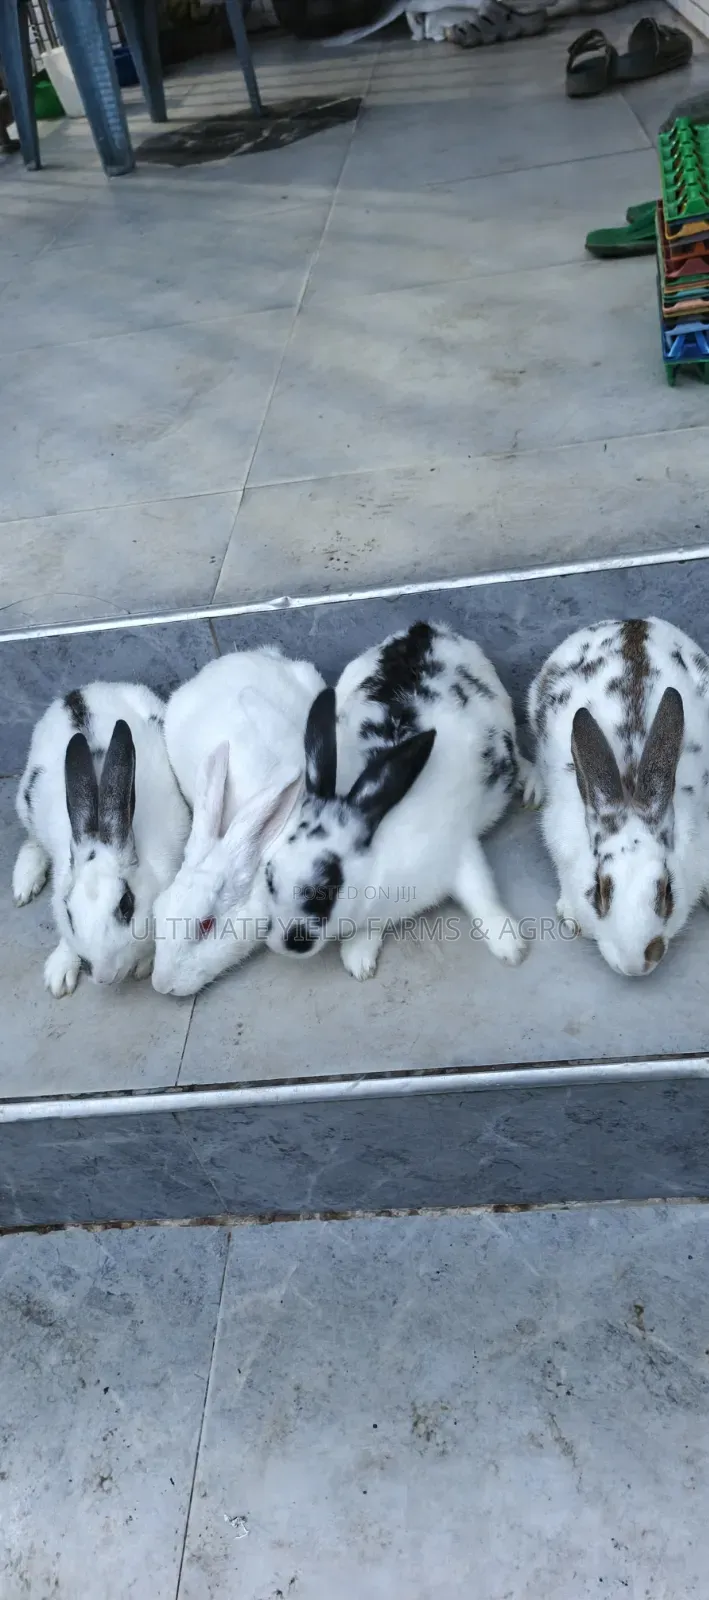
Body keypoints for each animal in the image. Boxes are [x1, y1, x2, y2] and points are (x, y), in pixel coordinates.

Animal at [13, 683, 191, 997]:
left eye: (126, 905)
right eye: (69, 913)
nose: (104, 976)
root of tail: (80, 692)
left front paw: (144, 963)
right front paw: (59, 974)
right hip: (25, 800)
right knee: (32, 841)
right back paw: (23, 884)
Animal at [263, 620, 540, 980]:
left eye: (325, 888)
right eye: (269, 875)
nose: (282, 944)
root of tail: (425, 630)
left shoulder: (458, 850)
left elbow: (482, 894)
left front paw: (511, 947)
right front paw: (358, 959)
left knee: (521, 759)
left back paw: (532, 784)